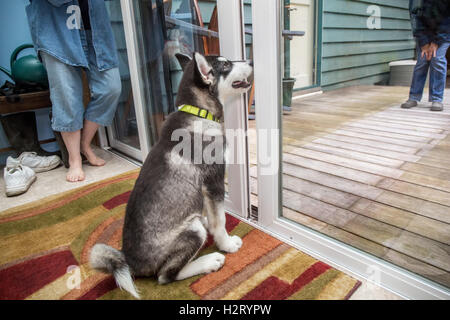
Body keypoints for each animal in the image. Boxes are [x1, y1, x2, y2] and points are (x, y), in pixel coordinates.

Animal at [89, 51, 255, 298]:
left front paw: (210, 221)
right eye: (226, 65)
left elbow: (211, 213)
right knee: (166, 276)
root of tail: (130, 261)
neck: (199, 113)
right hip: (192, 232)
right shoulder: (214, 182)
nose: (251, 60)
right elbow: (220, 220)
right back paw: (209, 261)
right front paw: (226, 244)